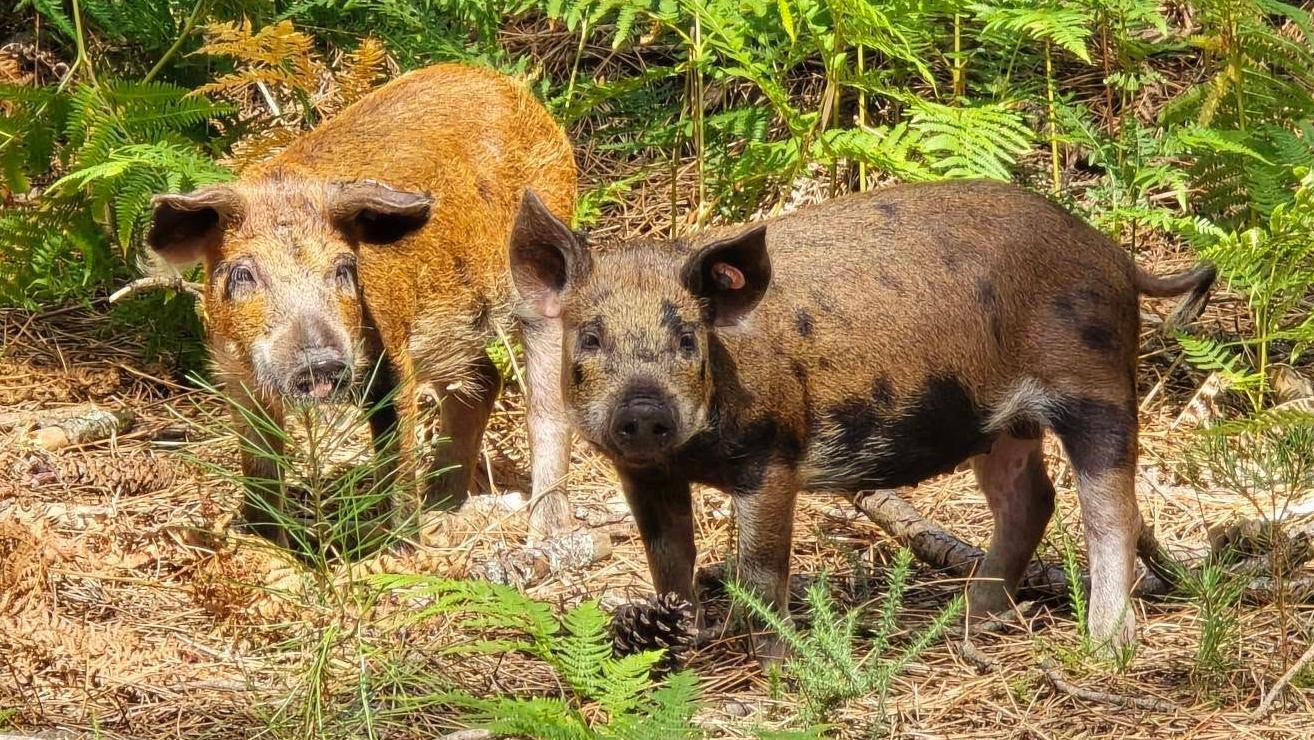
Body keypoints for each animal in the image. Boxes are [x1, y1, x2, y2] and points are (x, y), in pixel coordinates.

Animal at [146, 64, 578, 547]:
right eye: (243, 273)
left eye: (344, 268)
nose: (319, 362)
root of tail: (517, 91)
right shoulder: (236, 375)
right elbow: (260, 466)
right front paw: (264, 543)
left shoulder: (390, 358)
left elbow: (397, 464)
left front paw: (403, 548)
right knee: (484, 381)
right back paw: (443, 506)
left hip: (541, 285)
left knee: (546, 408)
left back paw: (544, 533)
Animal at [507, 179, 1216, 654]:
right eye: (591, 337)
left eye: (686, 338)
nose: (643, 409)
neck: (691, 453)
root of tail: (1115, 255)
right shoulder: (644, 471)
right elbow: (668, 556)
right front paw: (684, 634)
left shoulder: (773, 452)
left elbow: (762, 565)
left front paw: (772, 659)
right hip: (999, 423)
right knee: (1030, 498)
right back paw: (971, 618)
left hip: (1097, 387)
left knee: (1112, 509)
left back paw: (1107, 644)